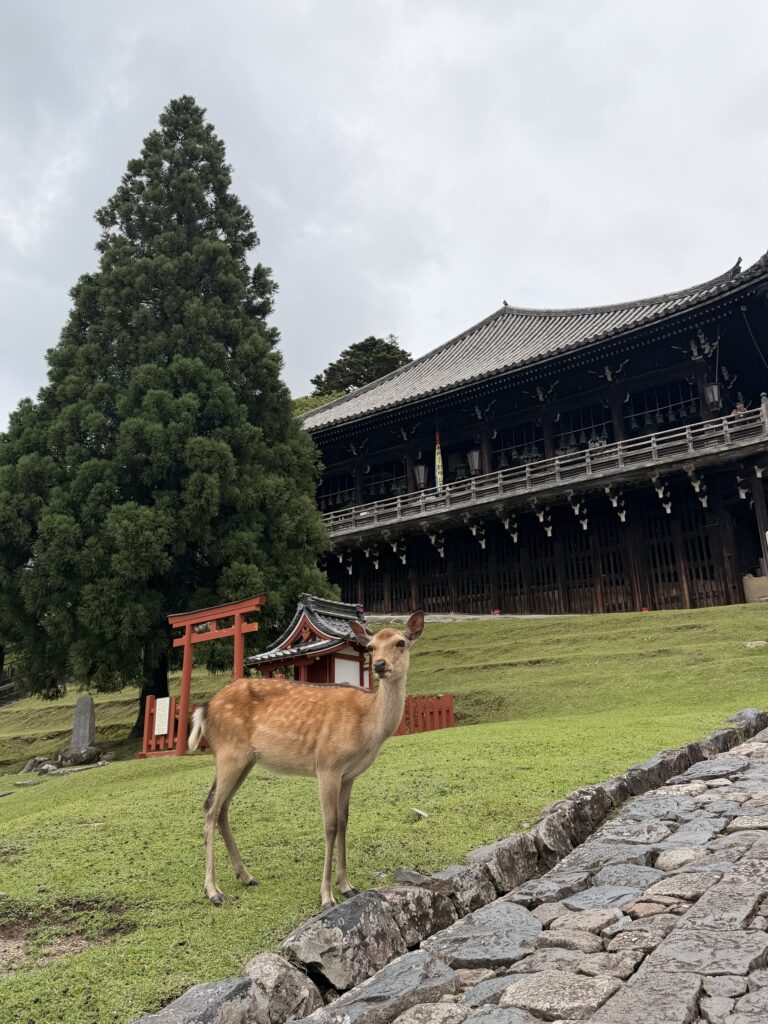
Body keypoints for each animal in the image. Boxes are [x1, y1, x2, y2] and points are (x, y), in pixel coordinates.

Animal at [188, 610, 424, 908]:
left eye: (400, 642)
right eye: (371, 648)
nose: (380, 665)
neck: (368, 728)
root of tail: (204, 710)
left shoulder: (349, 775)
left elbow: (345, 821)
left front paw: (347, 886)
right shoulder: (327, 765)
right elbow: (331, 825)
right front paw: (327, 896)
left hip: (245, 760)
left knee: (222, 808)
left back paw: (246, 876)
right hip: (228, 752)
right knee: (210, 807)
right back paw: (213, 891)